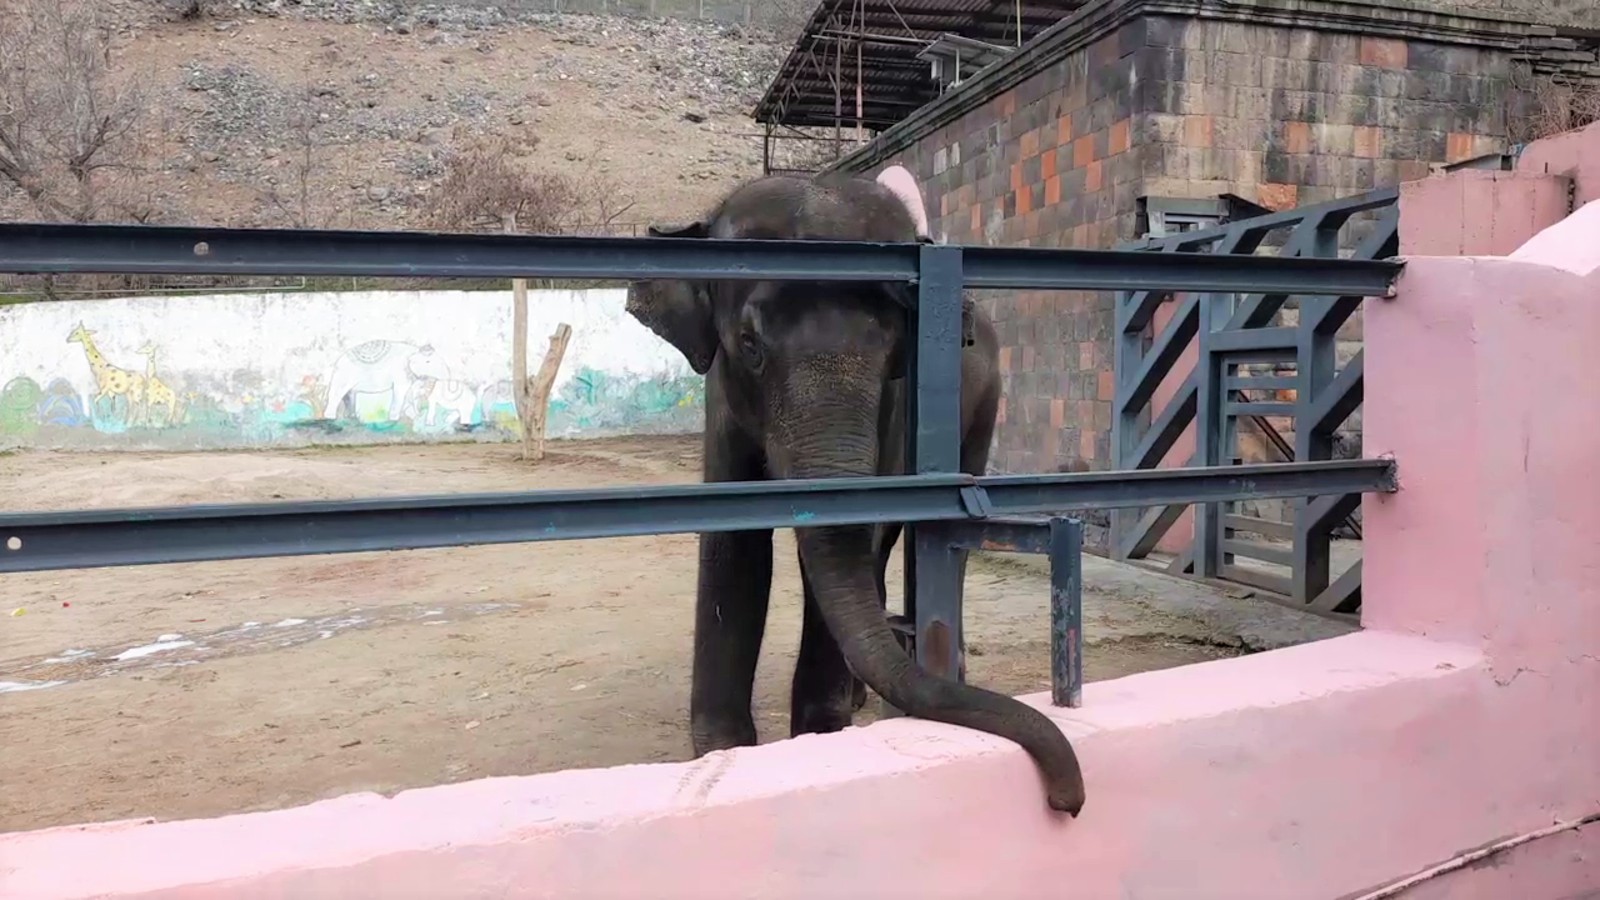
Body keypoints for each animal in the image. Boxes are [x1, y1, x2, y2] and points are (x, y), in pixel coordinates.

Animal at [624, 168, 1088, 813]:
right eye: (749, 345)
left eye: (895, 347)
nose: (1067, 800)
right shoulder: (722, 403)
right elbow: (734, 546)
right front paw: (724, 750)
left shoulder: (895, 408)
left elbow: (858, 530)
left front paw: (819, 734)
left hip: (985, 406)